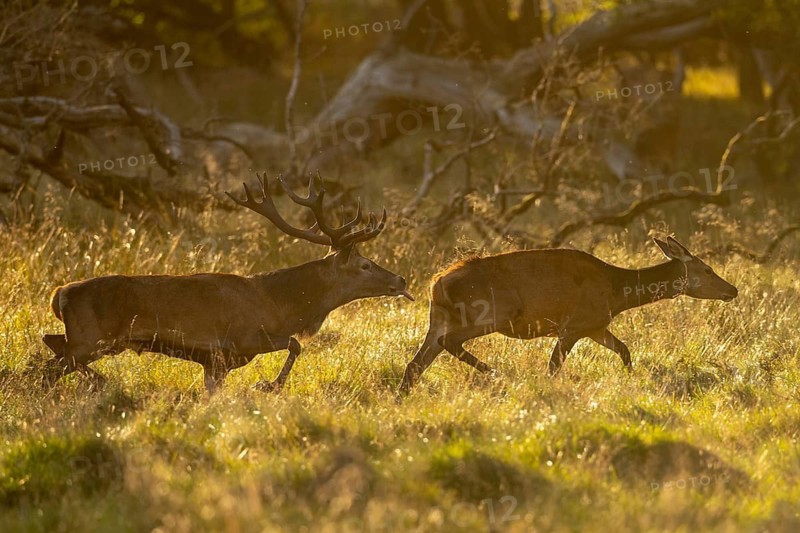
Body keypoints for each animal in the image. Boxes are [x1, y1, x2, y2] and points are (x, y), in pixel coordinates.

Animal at [41, 173, 413, 393]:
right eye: (365, 265)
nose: (400, 278)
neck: (281, 305)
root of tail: (59, 294)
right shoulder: (241, 338)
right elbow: (295, 344)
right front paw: (269, 385)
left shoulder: (215, 363)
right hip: (92, 337)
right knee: (50, 365)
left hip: (88, 339)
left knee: (50, 344)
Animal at [399, 237, 738, 394]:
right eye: (708, 270)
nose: (732, 290)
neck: (617, 292)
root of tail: (437, 283)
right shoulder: (573, 326)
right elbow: (553, 366)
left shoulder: (596, 325)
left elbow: (625, 350)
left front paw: (630, 379)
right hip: (491, 313)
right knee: (448, 342)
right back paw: (494, 371)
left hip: (439, 317)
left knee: (416, 363)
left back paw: (402, 397)